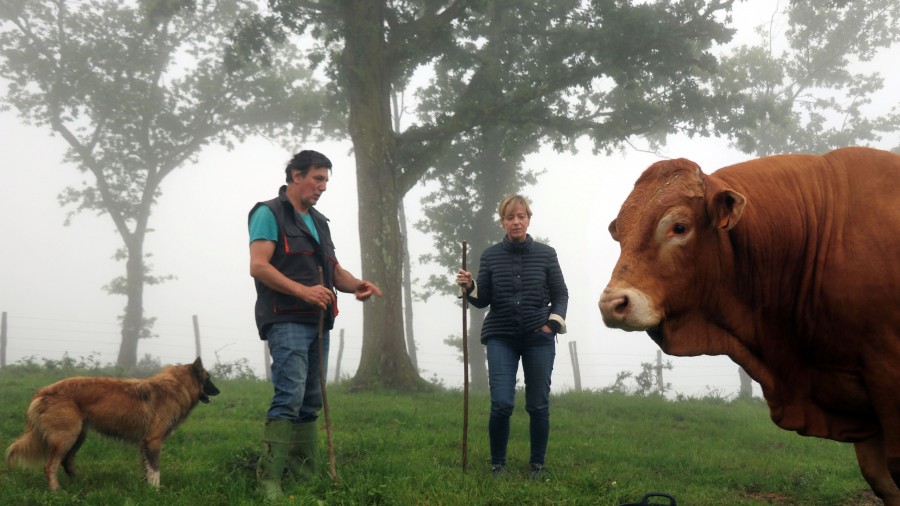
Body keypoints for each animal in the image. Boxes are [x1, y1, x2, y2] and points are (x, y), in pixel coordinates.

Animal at [4, 356, 220, 490]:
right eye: (208, 378)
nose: (219, 391)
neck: (177, 387)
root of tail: (43, 392)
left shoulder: (145, 444)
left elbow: (147, 469)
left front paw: (147, 489)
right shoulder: (153, 441)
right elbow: (155, 470)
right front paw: (156, 491)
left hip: (78, 436)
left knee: (66, 462)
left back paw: (80, 484)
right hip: (67, 437)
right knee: (50, 466)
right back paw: (57, 491)